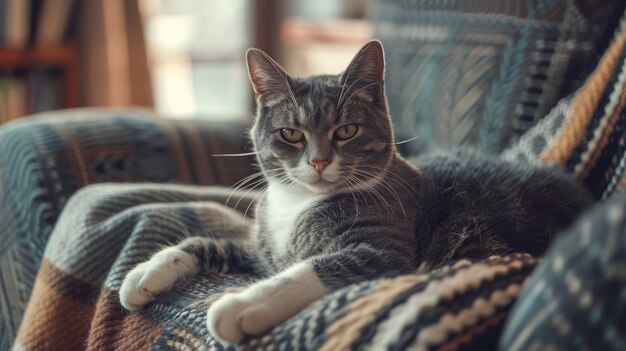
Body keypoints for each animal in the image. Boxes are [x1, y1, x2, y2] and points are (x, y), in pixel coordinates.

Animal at [119, 40, 592, 344]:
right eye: (291, 133)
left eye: (346, 130)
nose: (318, 161)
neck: (298, 204)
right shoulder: (262, 252)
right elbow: (210, 242)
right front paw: (146, 273)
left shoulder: (385, 250)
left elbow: (313, 268)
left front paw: (240, 304)